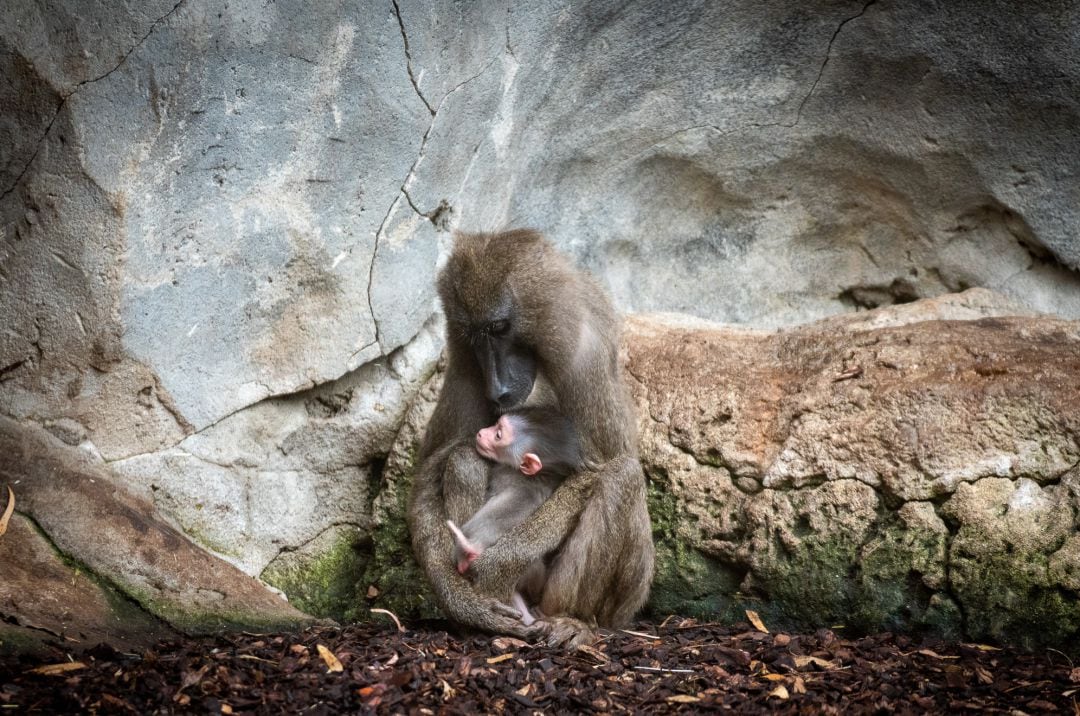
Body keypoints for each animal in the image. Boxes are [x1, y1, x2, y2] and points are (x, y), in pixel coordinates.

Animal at [444, 408, 587, 626]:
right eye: (496, 424)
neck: (538, 476)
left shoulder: (502, 471)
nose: (481, 433)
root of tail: (475, 543)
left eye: (498, 435)